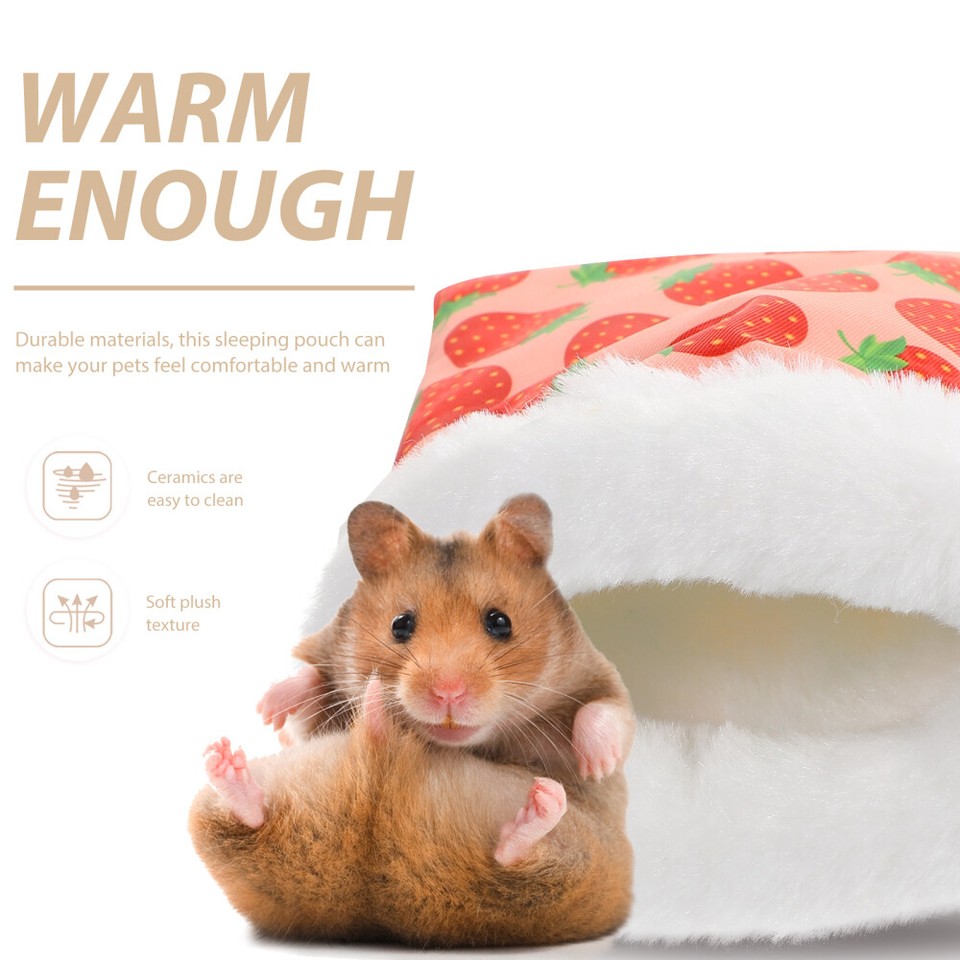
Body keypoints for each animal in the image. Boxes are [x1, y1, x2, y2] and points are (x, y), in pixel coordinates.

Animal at [258, 494, 635, 789]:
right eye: (400, 625)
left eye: (500, 622)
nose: (448, 693)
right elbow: (307, 688)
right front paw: (266, 711)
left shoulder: (597, 673)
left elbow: (606, 710)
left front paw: (597, 767)